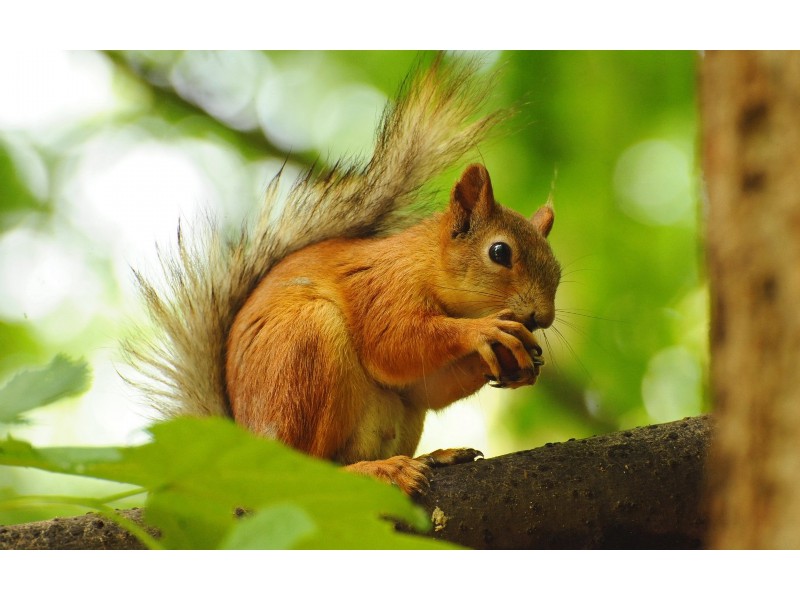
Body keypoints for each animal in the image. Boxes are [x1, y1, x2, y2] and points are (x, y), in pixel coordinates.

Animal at [126, 58, 564, 494]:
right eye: (500, 252)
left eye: (558, 271)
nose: (542, 318)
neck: (424, 263)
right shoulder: (383, 289)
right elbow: (393, 345)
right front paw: (485, 331)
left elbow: (426, 387)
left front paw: (519, 361)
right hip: (305, 352)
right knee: (309, 468)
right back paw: (380, 470)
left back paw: (433, 457)